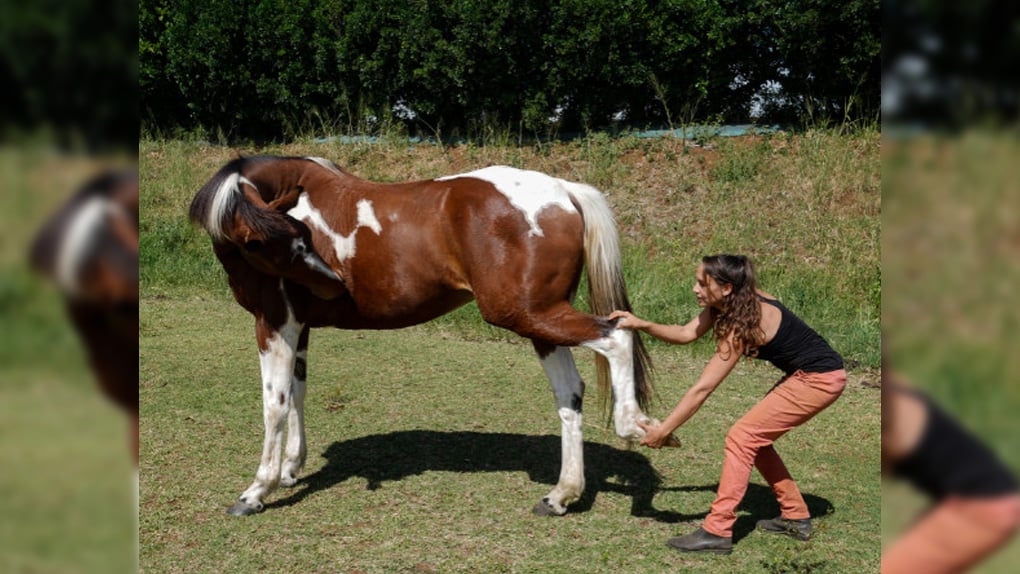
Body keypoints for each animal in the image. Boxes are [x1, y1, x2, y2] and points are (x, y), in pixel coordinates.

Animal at [189, 156, 671, 516]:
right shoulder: (298, 326)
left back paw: (633, 425)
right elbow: (297, 394)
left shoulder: (274, 322)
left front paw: (258, 489)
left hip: (529, 315)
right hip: (541, 320)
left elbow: (275, 403)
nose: (333, 284)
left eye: (301, 237)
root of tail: (562, 191)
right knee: (570, 392)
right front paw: (291, 467)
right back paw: (561, 494)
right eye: (264, 241)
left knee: (616, 335)